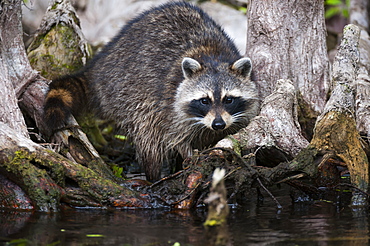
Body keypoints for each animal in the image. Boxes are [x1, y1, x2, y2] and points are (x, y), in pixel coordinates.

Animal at [43, 1, 258, 183]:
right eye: (204, 100)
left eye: (229, 99)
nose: (218, 124)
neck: (213, 57)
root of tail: (100, 64)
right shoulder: (169, 104)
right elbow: (174, 137)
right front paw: (190, 157)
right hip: (127, 91)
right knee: (148, 135)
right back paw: (153, 177)